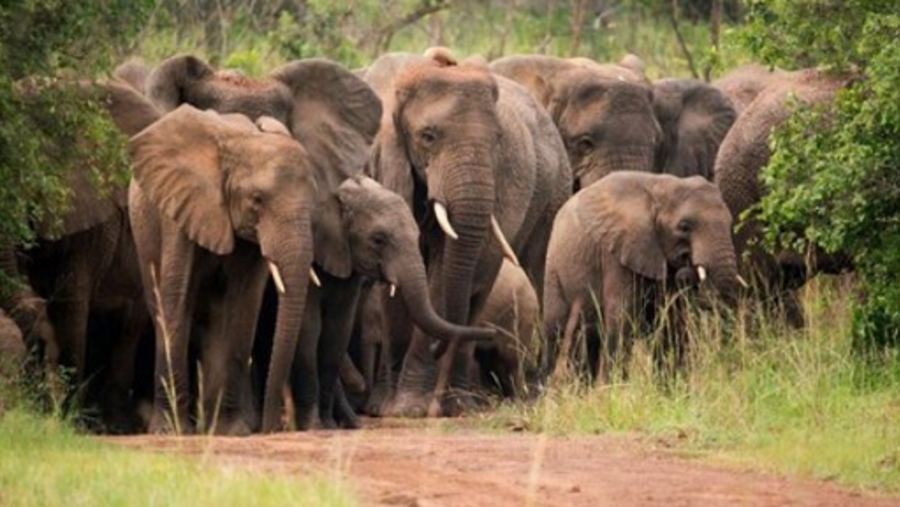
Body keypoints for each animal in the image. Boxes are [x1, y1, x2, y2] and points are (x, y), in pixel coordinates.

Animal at [364, 48, 572, 417]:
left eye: (498, 140)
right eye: (428, 137)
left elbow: (441, 277)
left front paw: (410, 407)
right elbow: (396, 282)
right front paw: (385, 408)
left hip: (552, 191)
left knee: (517, 273)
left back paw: (484, 402)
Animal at [542, 172, 740, 383]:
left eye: (730, 223)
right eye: (684, 226)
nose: (688, 272)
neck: (659, 186)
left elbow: (671, 324)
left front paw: (670, 386)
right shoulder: (617, 253)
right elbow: (622, 318)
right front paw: (614, 387)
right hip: (553, 271)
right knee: (557, 332)